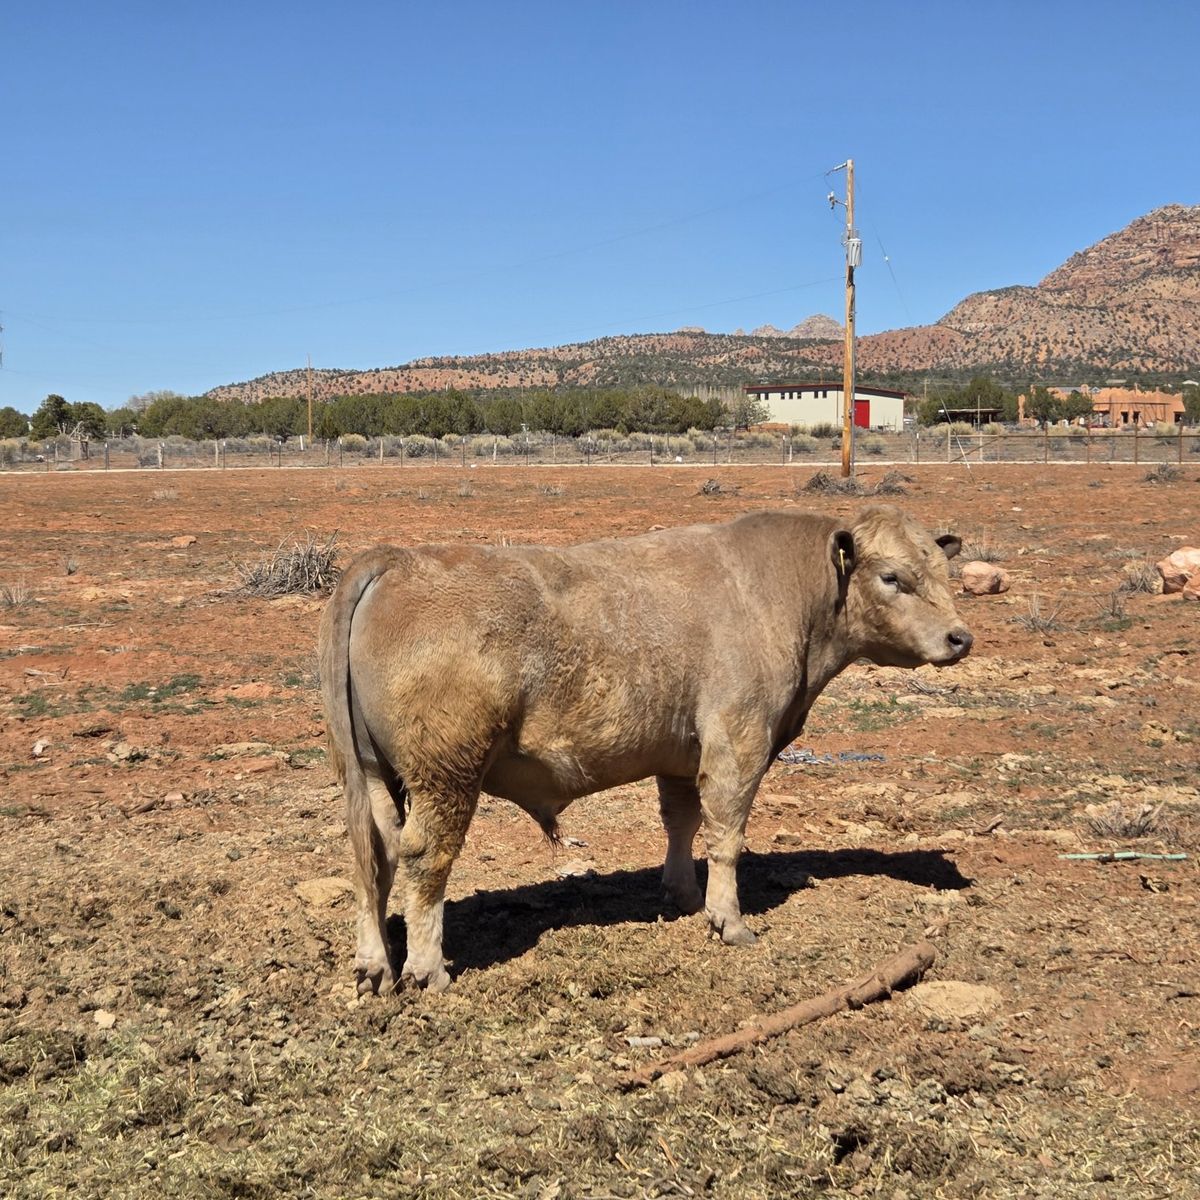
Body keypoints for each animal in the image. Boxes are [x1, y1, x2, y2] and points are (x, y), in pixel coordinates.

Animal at [318, 504, 971, 995]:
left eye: (944, 571)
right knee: (425, 858)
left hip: (372, 773)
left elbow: (681, 823)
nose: (960, 637)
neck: (783, 593)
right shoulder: (739, 739)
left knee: (370, 856)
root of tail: (396, 558)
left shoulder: (680, 753)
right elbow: (727, 834)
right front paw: (729, 920)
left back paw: (374, 964)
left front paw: (682, 893)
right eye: (892, 577)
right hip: (446, 772)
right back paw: (427, 969)